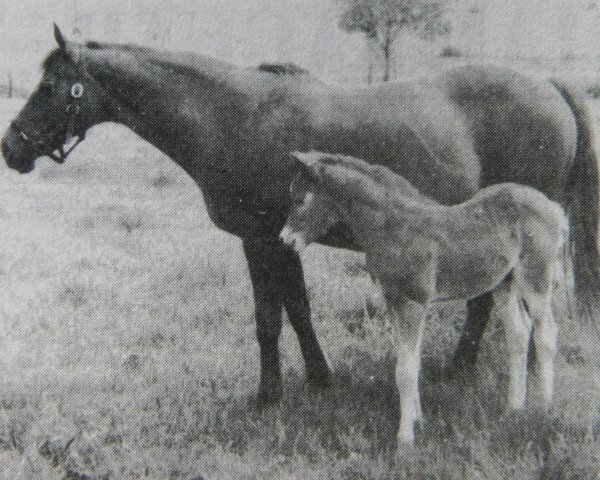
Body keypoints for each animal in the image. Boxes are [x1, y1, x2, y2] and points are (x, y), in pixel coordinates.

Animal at [3, 24, 600, 404]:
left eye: (51, 86)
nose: (11, 147)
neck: (232, 114)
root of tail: (549, 86)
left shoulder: (259, 238)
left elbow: (270, 317)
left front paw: (268, 396)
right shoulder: (280, 239)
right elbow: (298, 309)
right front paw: (319, 379)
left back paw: (463, 370)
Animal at [282, 151, 568, 446]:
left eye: (299, 199)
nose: (285, 241)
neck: (394, 226)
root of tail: (553, 207)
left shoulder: (413, 302)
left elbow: (405, 370)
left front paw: (405, 437)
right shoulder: (393, 300)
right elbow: (410, 359)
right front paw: (418, 419)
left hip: (535, 278)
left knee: (545, 333)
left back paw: (542, 408)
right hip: (504, 283)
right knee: (519, 333)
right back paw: (514, 408)